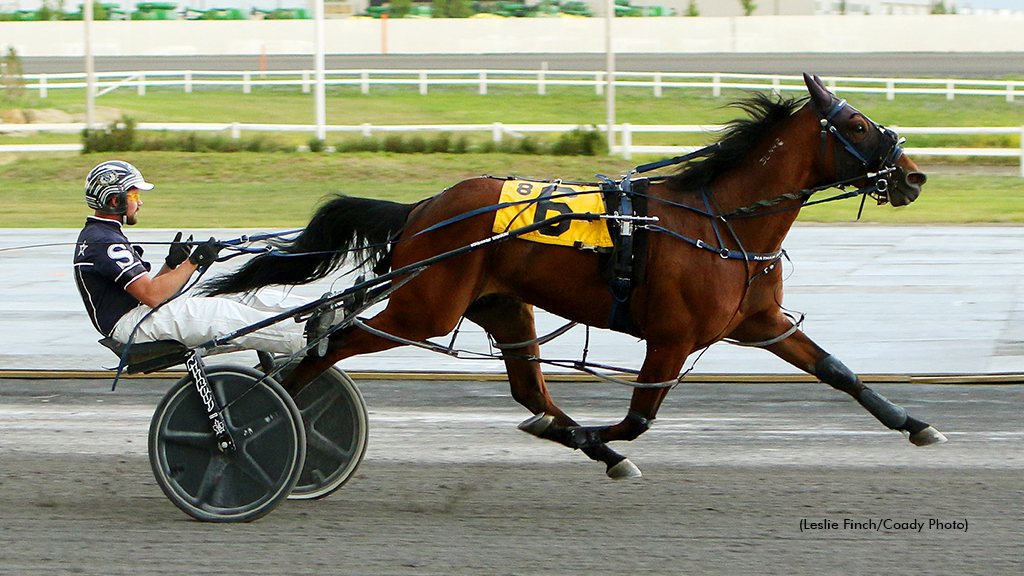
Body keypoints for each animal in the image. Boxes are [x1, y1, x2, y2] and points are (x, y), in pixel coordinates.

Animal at [205, 76, 942, 477]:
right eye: (855, 123)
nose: (913, 177)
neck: (719, 221)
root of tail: (424, 206)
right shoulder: (672, 336)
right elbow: (639, 417)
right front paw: (601, 437)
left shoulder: (760, 322)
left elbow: (836, 370)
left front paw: (913, 423)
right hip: (426, 309)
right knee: (331, 340)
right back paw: (263, 415)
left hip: (502, 306)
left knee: (529, 390)